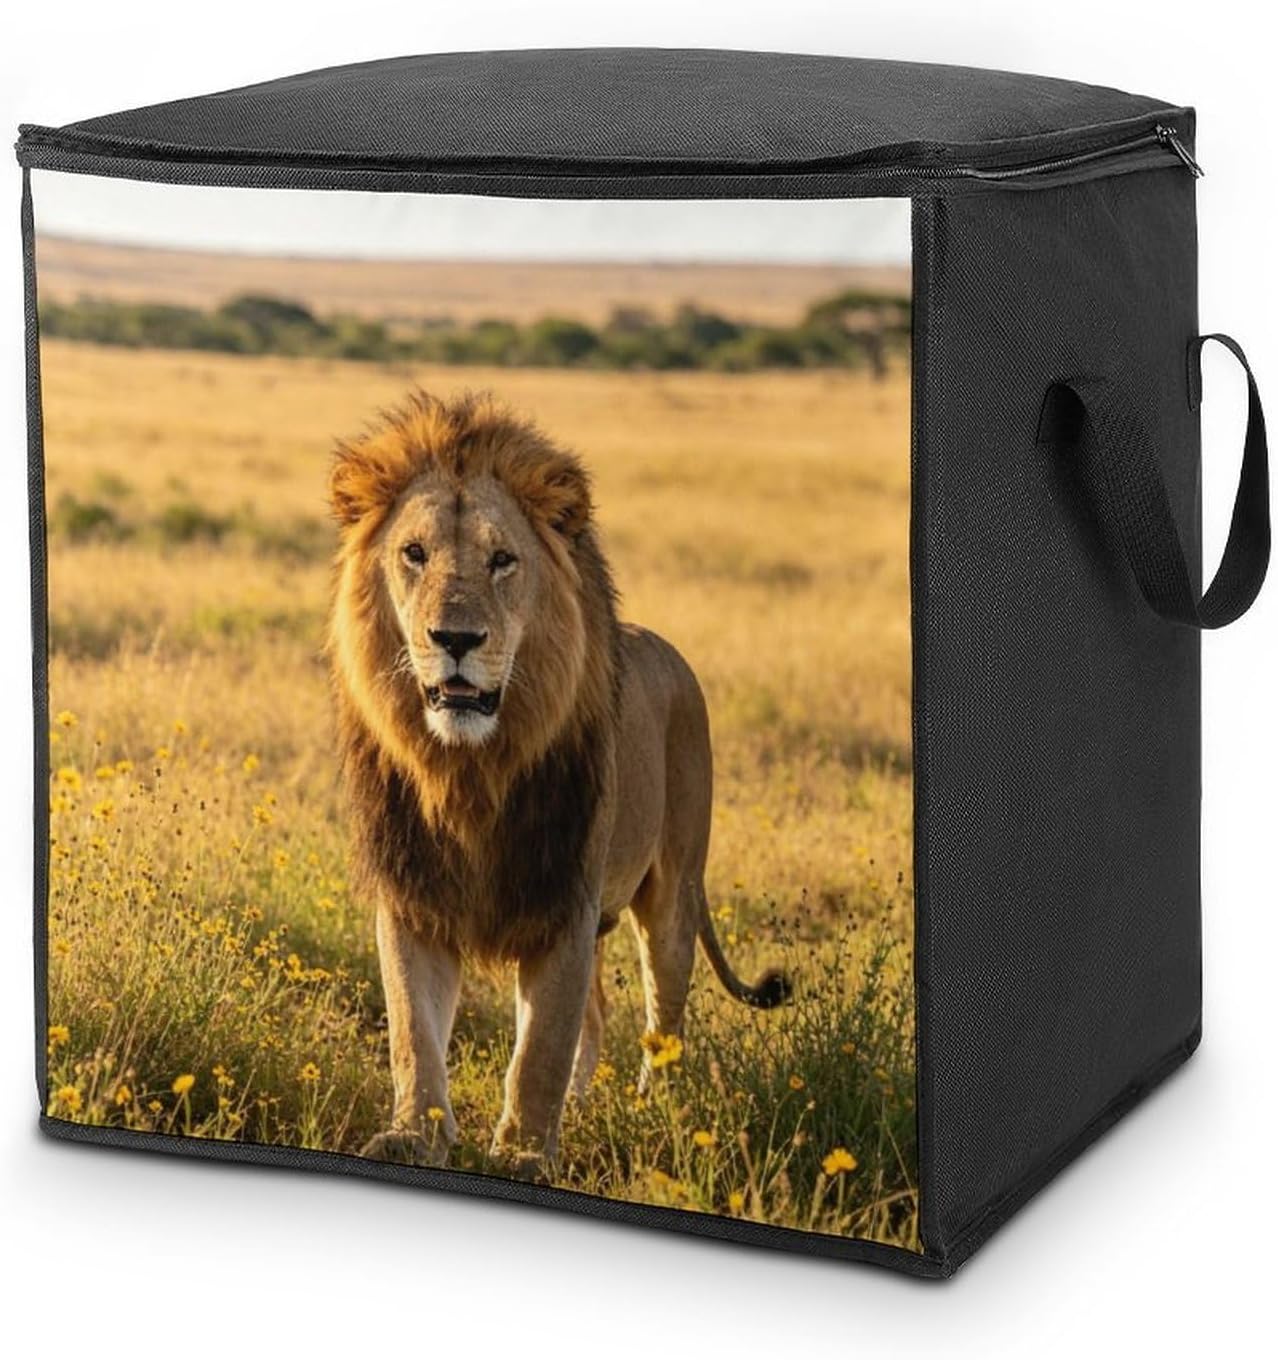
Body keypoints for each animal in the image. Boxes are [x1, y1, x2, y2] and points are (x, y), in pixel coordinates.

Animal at [327, 390, 789, 1178]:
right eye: (413, 554)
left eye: (502, 560)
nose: (456, 640)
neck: (470, 771)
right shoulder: (414, 899)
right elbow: (413, 1034)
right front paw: (414, 1137)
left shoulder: (563, 903)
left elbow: (539, 1048)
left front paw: (521, 1155)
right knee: (598, 1015)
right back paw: (586, 1103)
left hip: (671, 893)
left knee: (665, 1013)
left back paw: (655, 1109)